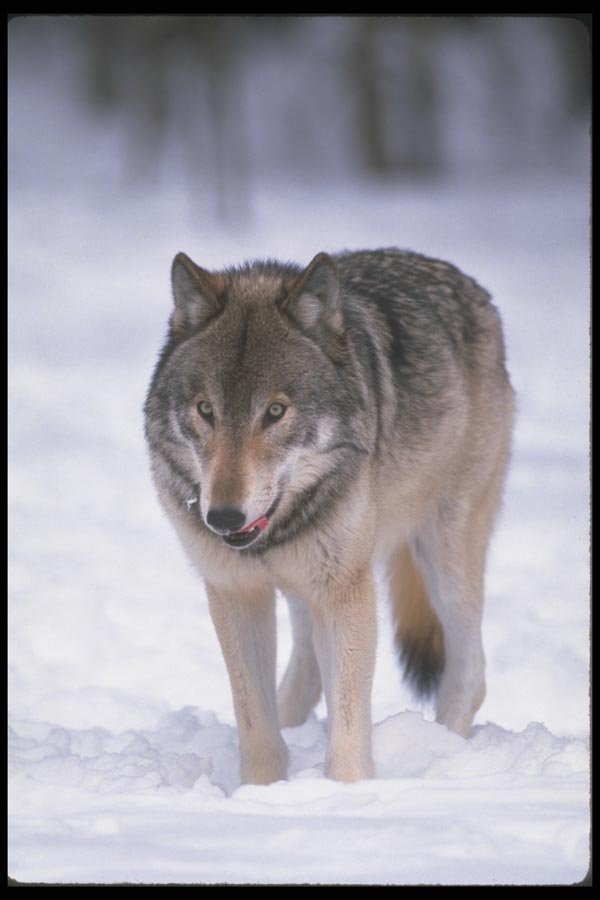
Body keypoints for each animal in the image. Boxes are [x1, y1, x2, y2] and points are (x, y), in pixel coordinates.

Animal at [144, 247, 515, 785]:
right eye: (205, 410)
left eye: (276, 411)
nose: (224, 518)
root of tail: (471, 287)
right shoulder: (237, 592)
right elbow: (255, 723)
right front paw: (263, 791)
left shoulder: (344, 591)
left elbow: (348, 721)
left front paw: (345, 792)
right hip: (308, 585)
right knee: (304, 670)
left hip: (442, 553)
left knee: (470, 671)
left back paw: (444, 753)